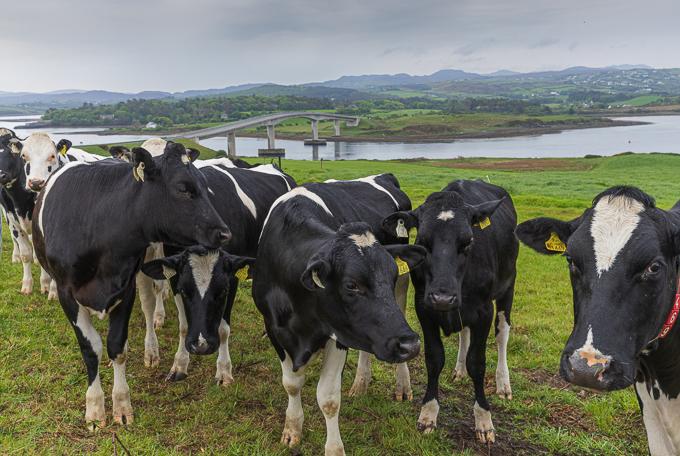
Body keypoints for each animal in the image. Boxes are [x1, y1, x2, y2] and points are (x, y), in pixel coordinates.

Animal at [0, 128, 55, 296]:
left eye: (12, 153)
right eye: (23, 155)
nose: (1, 175)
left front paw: (45, 284)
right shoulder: (12, 219)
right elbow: (25, 253)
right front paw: (27, 285)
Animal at [33, 141, 230, 429]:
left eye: (205, 184)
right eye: (183, 188)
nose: (225, 233)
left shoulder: (125, 289)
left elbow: (115, 347)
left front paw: (122, 405)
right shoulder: (66, 294)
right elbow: (91, 350)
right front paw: (94, 409)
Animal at [252, 183, 427, 455]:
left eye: (391, 276)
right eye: (351, 285)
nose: (411, 345)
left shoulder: (338, 335)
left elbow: (329, 399)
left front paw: (334, 449)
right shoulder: (274, 328)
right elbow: (291, 384)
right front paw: (292, 428)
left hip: (401, 291)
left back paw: (402, 386)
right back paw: (361, 383)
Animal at [382, 179, 518, 443]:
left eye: (468, 242)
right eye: (422, 243)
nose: (443, 298)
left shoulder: (484, 311)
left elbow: (478, 363)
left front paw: (484, 419)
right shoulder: (424, 308)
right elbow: (434, 359)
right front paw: (428, 413)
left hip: (508, 285)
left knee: (502, 334)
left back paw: (503, 384)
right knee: (464, 332)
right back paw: (460, 370)